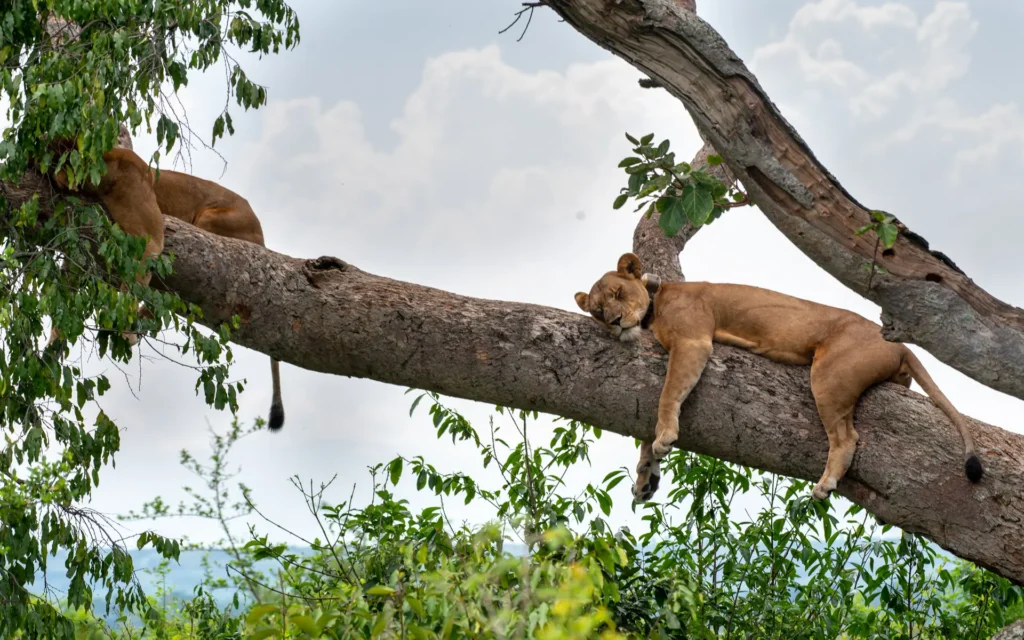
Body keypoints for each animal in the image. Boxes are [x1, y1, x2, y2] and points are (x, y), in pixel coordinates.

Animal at [574, 252, 982, 503]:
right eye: (596, 310)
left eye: (617, 292)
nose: (614, 322)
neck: (655, 302)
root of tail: (899, 346)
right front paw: (647, 477)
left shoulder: (693, 341)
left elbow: (667, 395)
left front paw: (664, 437)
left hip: (828, 375)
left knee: (847, 437)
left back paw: (825, 483)